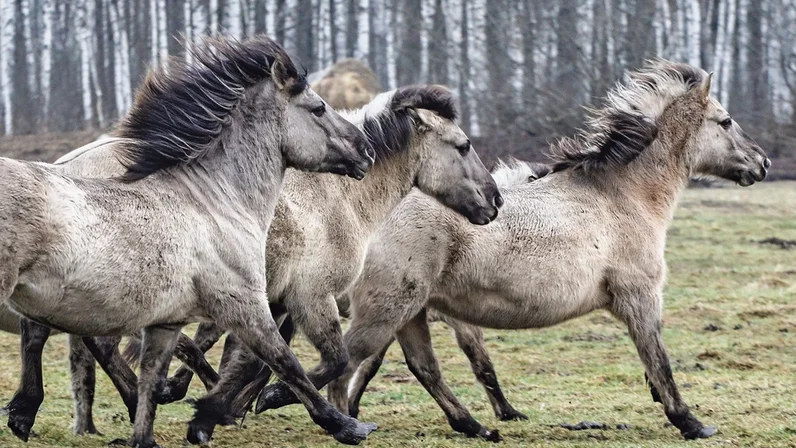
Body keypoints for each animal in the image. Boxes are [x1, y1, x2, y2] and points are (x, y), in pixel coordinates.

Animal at [0, 36, 380, 448]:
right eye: (318, 107)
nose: (366, 151)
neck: (215, 202)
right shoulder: (244, 303)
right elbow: (284, 361)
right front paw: (345, 425)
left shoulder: (167, 322)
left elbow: (153, 380)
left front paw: (155, 431)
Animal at [324, 59, 772, 440]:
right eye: (726, 121)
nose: (762, 163)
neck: (623, 196)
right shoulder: (640, 297)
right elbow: (658, 358)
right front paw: (691, 423)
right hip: (389, 309)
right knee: (348, 366)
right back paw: (350, 426)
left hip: (410, 312)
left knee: (421, 367)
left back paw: (476, 427)